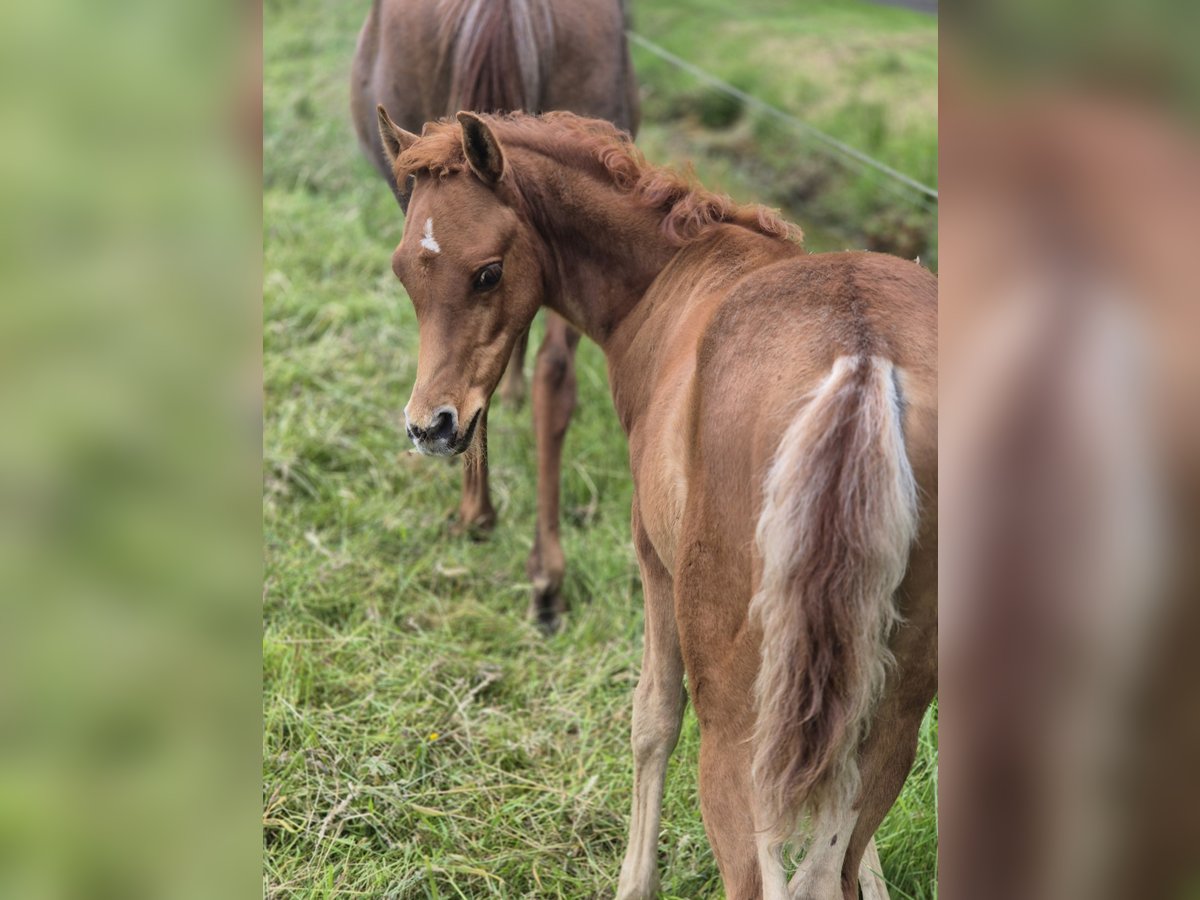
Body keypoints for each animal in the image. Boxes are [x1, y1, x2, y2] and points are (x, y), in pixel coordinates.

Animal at [350, 0, 643, 628]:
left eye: (487, 273)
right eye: (400, 275)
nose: (423, 431)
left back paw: (478, 516)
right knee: (551, 377)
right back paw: (545, 574)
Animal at [374, 112, 936, 900]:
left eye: (487, 272)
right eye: (404, 270)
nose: (431, 427)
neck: (669, 278)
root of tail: (862, 360)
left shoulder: (652, 558)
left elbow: (653, 717)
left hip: (738, 718)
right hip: (897, 708)